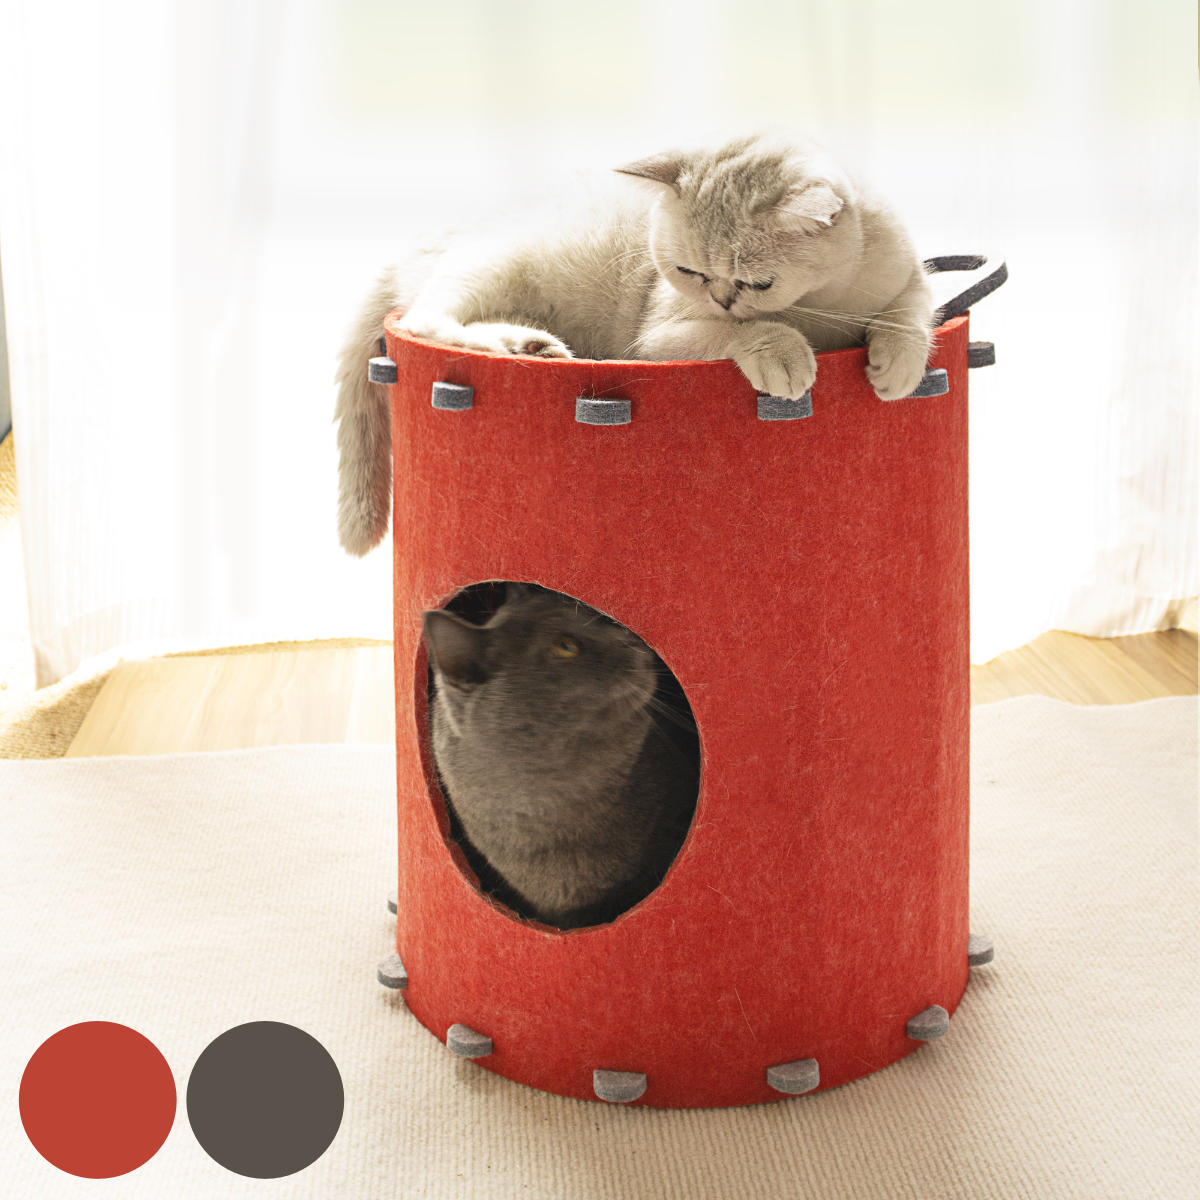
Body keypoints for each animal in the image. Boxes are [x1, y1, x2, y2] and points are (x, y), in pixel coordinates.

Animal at [335, 135, 934, 555]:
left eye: (758, 281)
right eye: (690, 272)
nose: (721, 298)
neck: (821, 306)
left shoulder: (906, 274)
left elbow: (914, 310)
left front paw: (898, 367)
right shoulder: (660, 336)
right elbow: (746, 333)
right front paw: (784, 353)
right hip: (493, 265)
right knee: (428, 320)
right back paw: (523, 346)